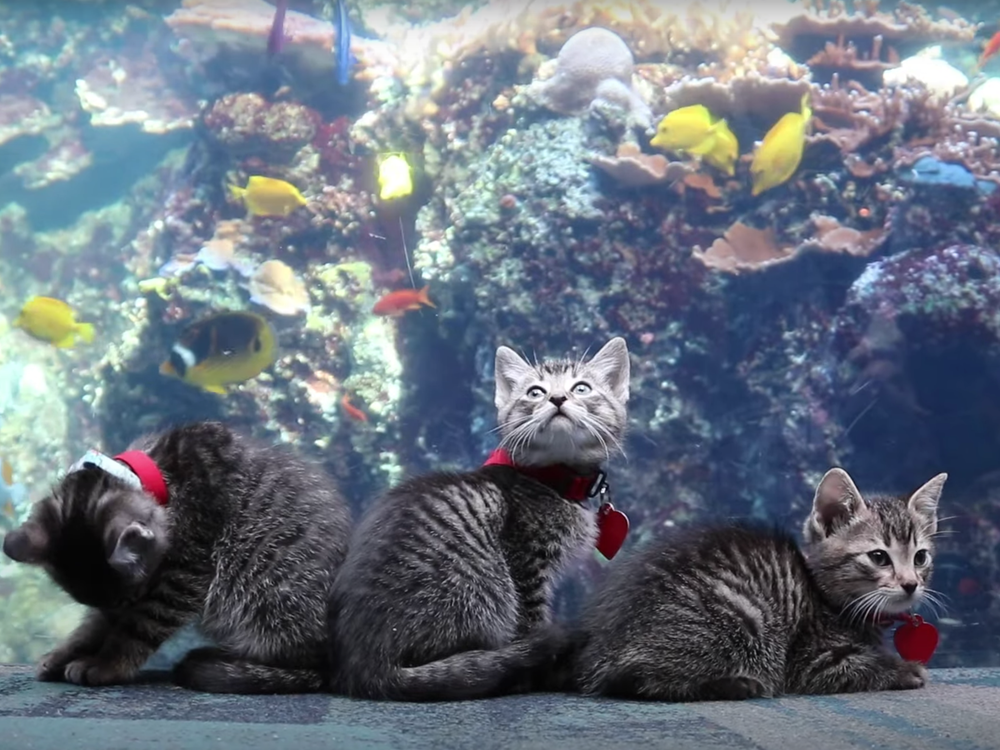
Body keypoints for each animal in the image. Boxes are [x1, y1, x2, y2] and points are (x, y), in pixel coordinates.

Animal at [0, 420, 352, 696]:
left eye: (130, 599)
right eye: (115, 603)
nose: (118, 610)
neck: (161, 471)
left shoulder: (184, 575)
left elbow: (138, 628)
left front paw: (106, 663)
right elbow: (93, 626)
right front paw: (67, 651)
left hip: (266, 590)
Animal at [328, 338, 624, 704]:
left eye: (581, 388)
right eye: (535, 392)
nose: (557, 398)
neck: (551, 478)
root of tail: (366, 664)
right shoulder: (527, 565)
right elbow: (533, 622)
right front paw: (545, 672)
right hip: (483, 594)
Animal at [572, 468, 944, 704]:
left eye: (920, 557)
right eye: (879, 557)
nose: (910, 584)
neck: (826, 597)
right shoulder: (811, 662)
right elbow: (859, 666)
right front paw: (908, 670)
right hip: (741, 613)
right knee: (634, 678)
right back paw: (737, 684)